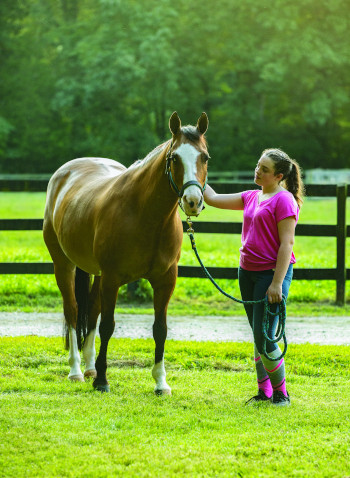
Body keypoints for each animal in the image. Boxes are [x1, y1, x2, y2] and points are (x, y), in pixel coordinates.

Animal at [42, 111, 209, 392]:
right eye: (174, 158)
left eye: (204, 157)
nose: (193, 201)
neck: (145, 214)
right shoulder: (113, 278)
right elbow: (108, 326)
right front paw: (102, 380)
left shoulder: (165, 280)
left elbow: (160, 329)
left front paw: (161, 382)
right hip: (64, 265)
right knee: (73, 311)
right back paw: (76, 370)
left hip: (96, 274)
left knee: (92, 311)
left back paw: (89, 367)